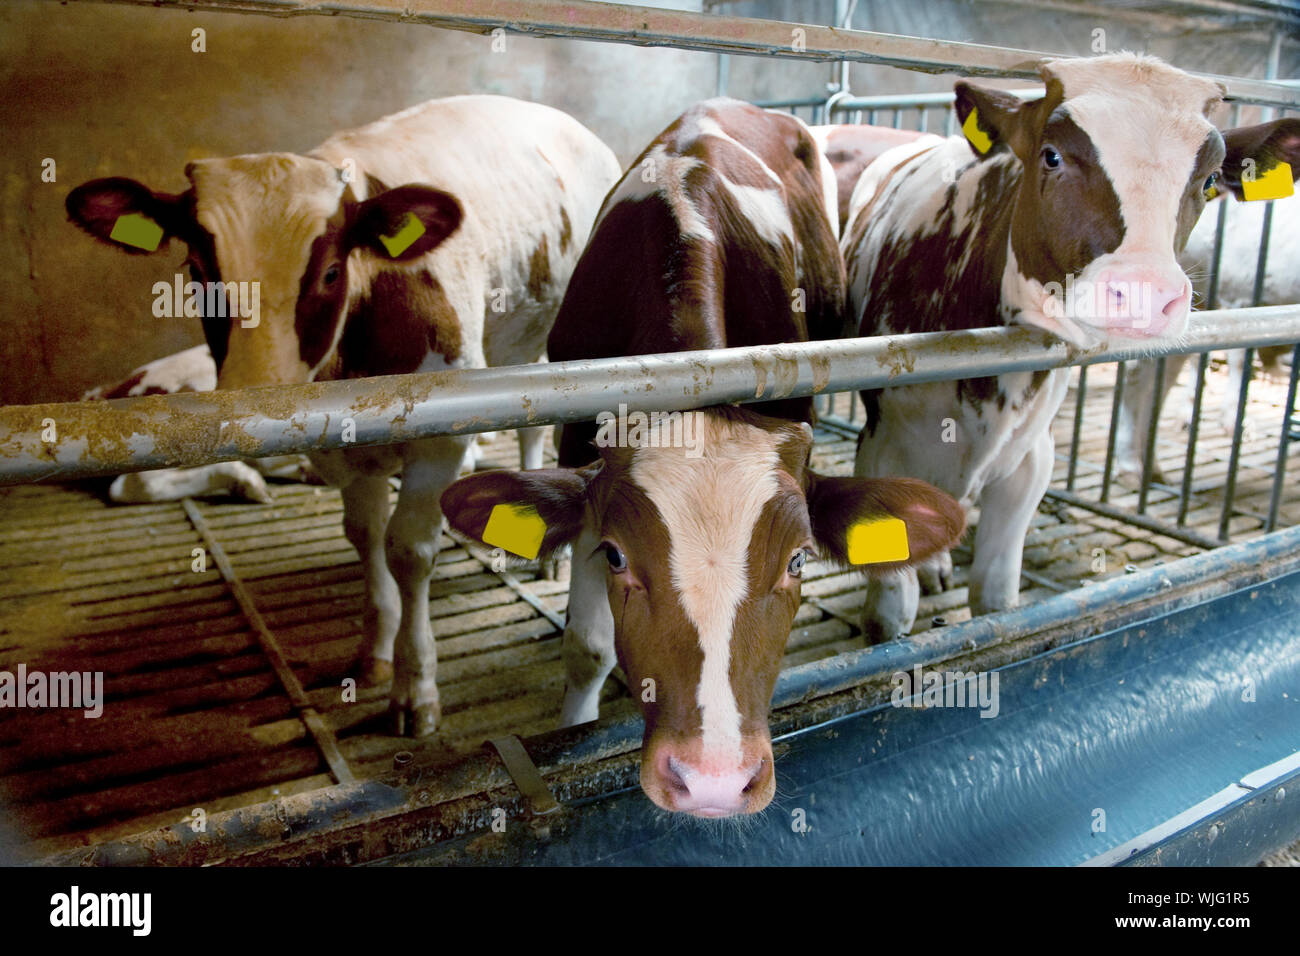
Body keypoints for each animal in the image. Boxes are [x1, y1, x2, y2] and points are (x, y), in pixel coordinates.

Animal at [65, 97, 624, 738]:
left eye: (331, 272)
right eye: (198, 270)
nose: (254, 411)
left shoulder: (437, 444)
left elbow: (409, 550)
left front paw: (415, 686)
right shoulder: (339, 446)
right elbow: (365, 535)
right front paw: (375, 652)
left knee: (539, 420)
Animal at [837, 52, 1294, 639]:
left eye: (1211, 178)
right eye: (1051, 156)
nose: (1146, 294)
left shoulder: (1032, 461)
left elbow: (996, 602)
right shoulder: (881, 449)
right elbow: (891, 617)